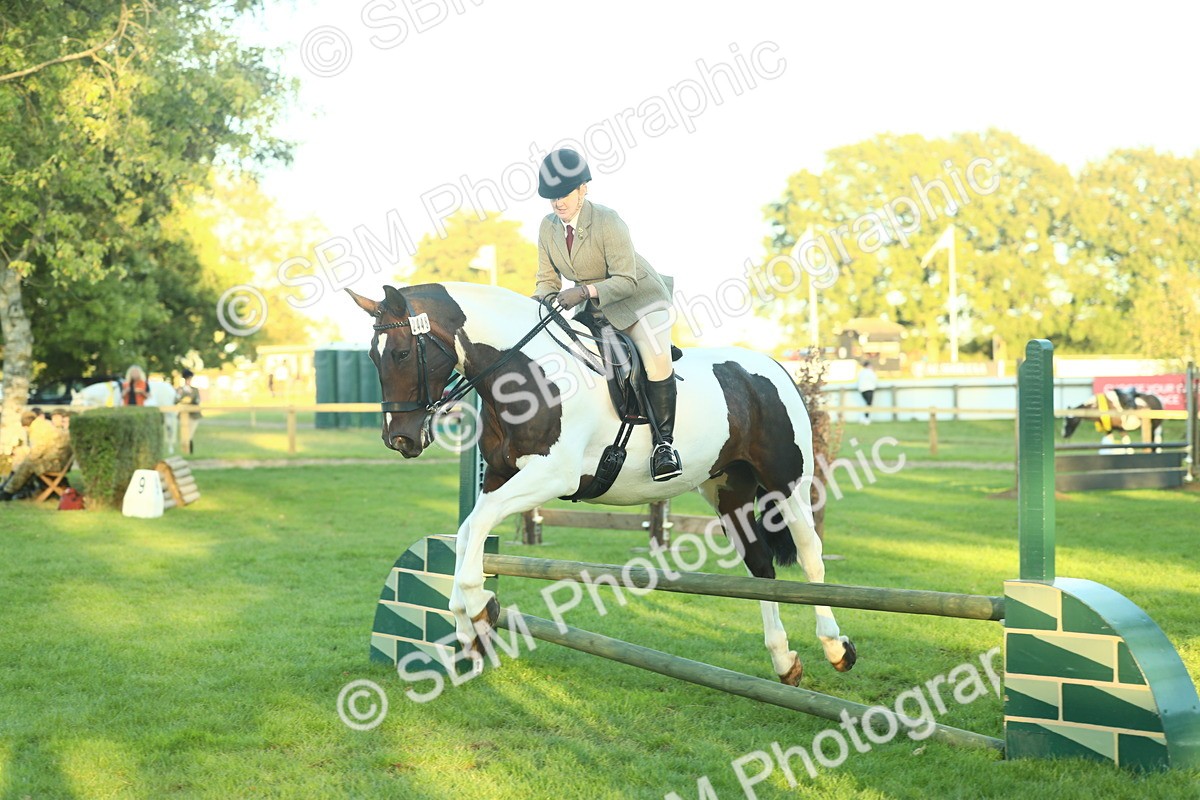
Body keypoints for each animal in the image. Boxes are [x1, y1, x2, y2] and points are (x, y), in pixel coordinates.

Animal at [347, 282, 856, 686]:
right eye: (372, 357)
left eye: (399, 353)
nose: (399, 439)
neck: (526, 375)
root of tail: (772, 368)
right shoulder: (500, 476)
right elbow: (470, 529)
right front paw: (470, 624)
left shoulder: (552, 474)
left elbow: (481, 525)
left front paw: (476, 608)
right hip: (727, 489)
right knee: (760, 566)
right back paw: (784, 661)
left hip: (786, 480)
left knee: (809, 554)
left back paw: (836, 648)